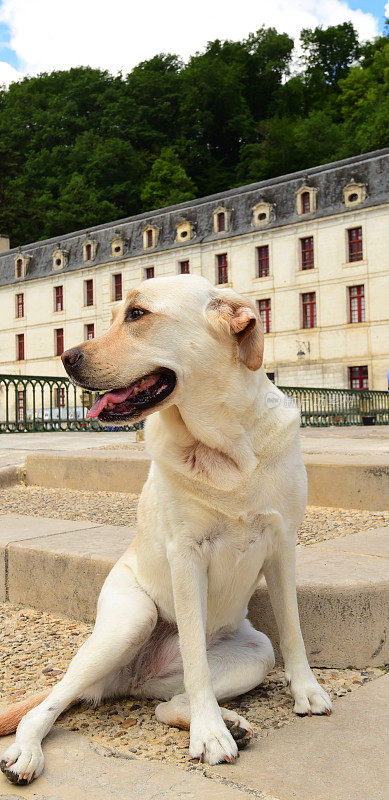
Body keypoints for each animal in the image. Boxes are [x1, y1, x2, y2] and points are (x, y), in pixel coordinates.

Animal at [0, 274, 330, 780]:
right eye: (112, 316)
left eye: (137, 314)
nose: (67, 357)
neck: (226, 446)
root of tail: (129, 677)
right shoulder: (186, 555)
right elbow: (195, 657)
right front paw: (209, 736)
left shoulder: (282, 547)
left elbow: (292, 629)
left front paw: (306, 692)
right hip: (128, 621)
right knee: (48, 706)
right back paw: (27, 751)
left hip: (256, 653)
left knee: (166, 704)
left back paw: (230, 722)